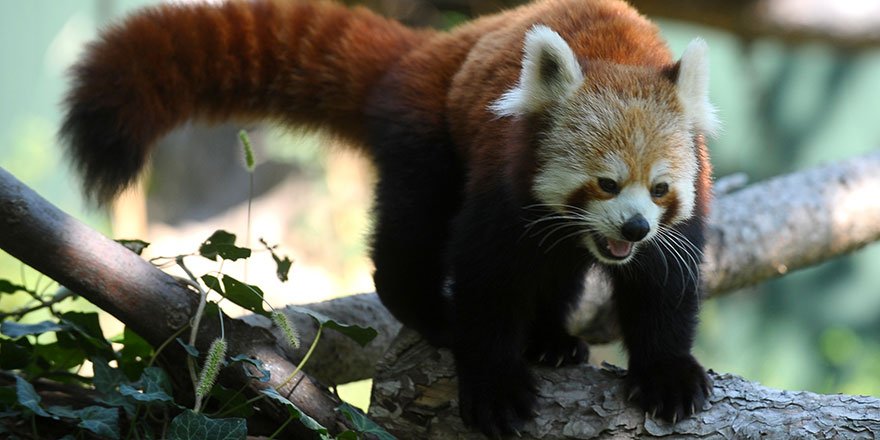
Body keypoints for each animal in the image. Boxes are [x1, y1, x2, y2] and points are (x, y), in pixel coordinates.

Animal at [63, 0, 720, 434]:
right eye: (606, 183)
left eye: (660, 188)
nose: (634, 228)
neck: (617, 55)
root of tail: (430, 50)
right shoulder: (502, 184)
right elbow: (489, 283)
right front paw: (495, 383)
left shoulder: (677, 221)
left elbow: (664, 291)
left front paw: (667, 375)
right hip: (429, 134)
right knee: (412, 231)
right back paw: (429, 312)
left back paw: (551, 340)